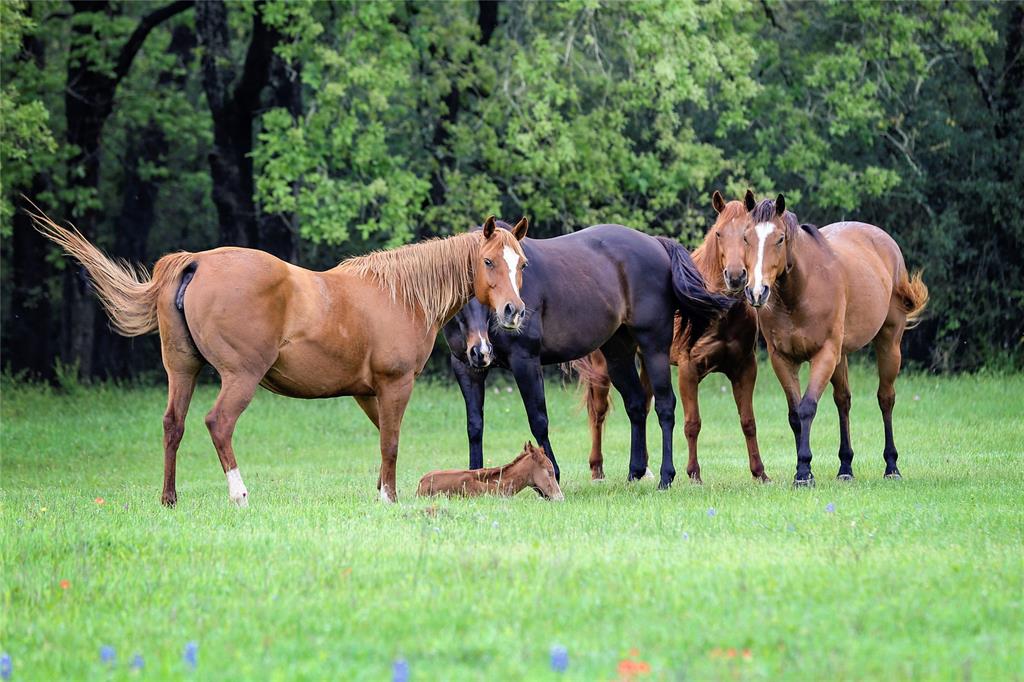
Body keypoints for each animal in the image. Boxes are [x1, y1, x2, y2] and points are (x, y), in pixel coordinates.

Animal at [32, 209, 528, 501]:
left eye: (520, 263)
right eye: (488, 262)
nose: (513, 311)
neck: (398, 295)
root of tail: (197, 261)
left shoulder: (368, 393)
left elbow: (385, 439)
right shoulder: (394, 384)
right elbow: (390, 441)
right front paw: (388, 498)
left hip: (183, 369)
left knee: (174, 425)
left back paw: (169, 499)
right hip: (240, 377)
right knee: (218, 423)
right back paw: (239, 494)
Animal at [444, 220, 733, 485]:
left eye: (521, 266)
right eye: (485, 264)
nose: (512, 313)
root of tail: (656, 243)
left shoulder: (525, 360)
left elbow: (538, 419)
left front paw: (553, 472)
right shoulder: (465, 367)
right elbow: (474, 425)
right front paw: (472, 476)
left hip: (654, 348)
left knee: (665, 406)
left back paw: (666, 476)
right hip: (618, 354)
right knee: (636, 404)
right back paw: (635, 472)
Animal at [577, 188, 770, 481]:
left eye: (748, 235)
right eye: (718, 233)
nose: (736, 277)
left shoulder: (745, 368)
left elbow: (748, 422)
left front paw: (760, 473)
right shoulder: (689, 370)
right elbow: (692, 423)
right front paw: (694, 474)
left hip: (648, 360)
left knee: (642, 405)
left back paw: (643, 468)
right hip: (603, 368)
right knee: (598, 413)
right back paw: (597, 469)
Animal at [737, 193, 929, 481]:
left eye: (780, 239)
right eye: (746, 237)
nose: (757, 292)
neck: (800, 292)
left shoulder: (824, 354)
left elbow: (807, 407)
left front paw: (804, 472)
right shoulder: (782, 359)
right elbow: (795, 414)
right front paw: (803, 470)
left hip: (888, 343)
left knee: (886, 398)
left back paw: (892, 466)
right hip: (841, 357)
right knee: (843, 401)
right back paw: (845, 467)